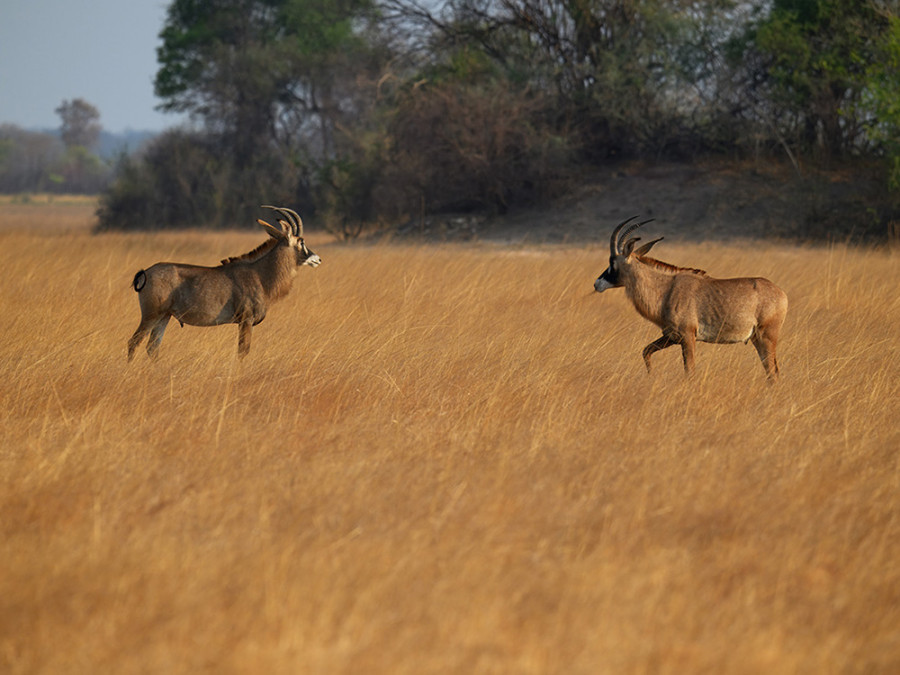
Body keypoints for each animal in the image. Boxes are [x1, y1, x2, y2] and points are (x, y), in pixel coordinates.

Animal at [125, 206, 324, 362]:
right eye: (301, 241)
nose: (318, 259)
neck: (259, 274)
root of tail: (145, 272)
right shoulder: (246, 320)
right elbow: (242, 352)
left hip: (164, 317)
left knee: (152, 348)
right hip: (151, 315)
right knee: (133, 342)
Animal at [596, 218, 788, 382]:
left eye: (612, 262)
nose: (597, 283)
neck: (666, 289)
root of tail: (782, 294)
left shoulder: (688, 336)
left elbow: (690, 371)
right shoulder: (671, 336)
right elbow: (646, 351)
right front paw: (651, 374)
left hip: (766, 337)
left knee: (773, 372)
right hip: (756, 338)